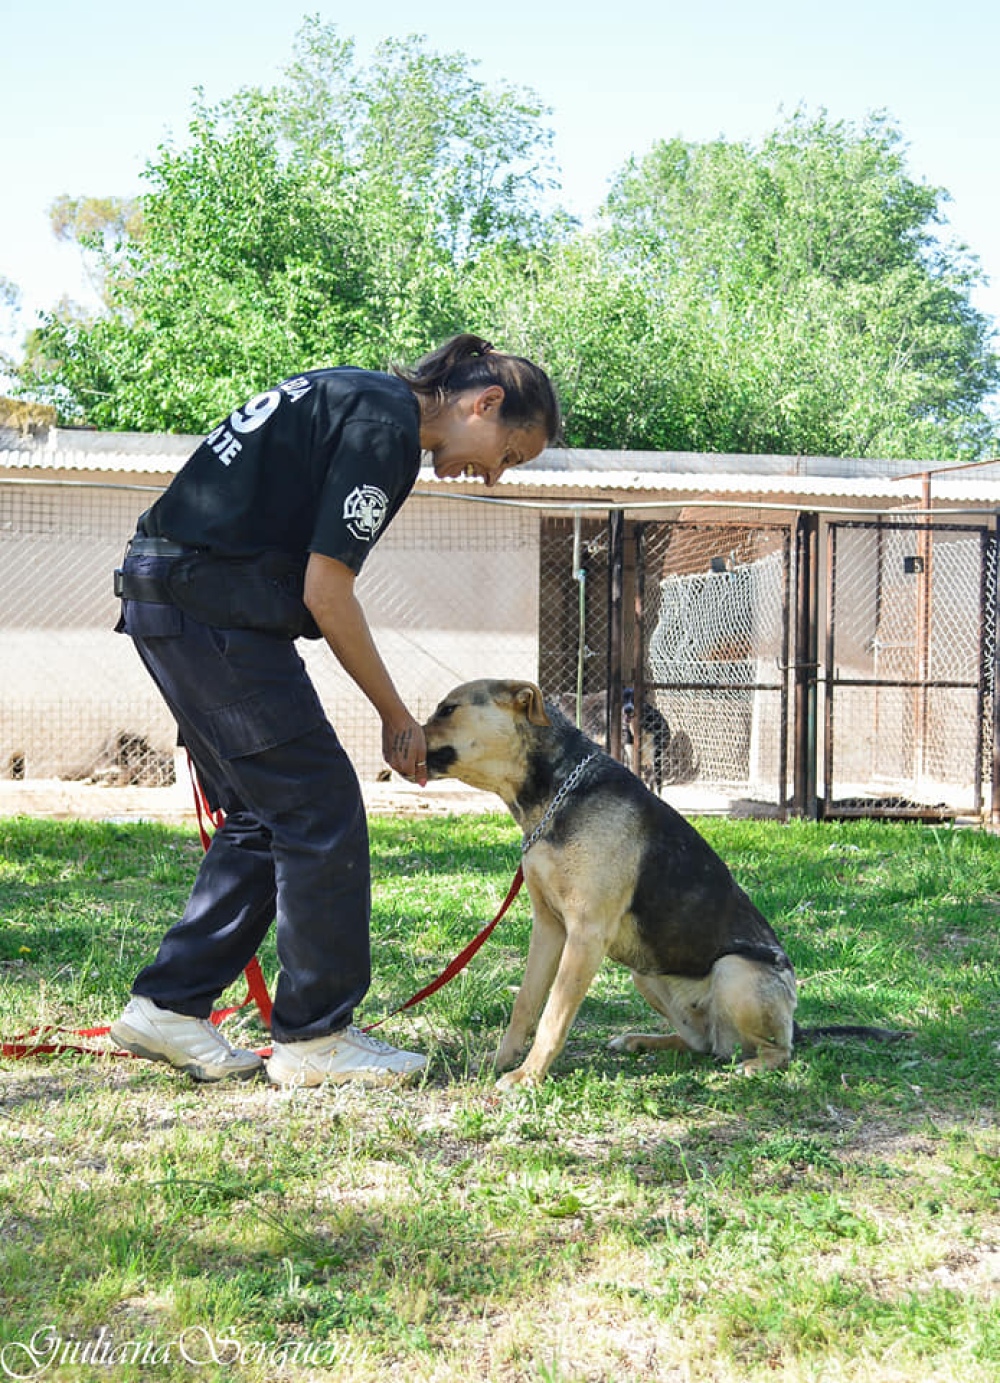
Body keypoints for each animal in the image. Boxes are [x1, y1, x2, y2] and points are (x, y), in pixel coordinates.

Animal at [420, 680, 901, 1089]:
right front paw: (503, 1062)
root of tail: (793, 1022)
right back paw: (641, 1041)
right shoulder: (549, 928)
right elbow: (525, 1005)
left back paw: (753, 1065)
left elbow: (553, 1016)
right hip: (645, 973)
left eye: (447, 709)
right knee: (702, 1044)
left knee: (776, 1050)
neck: (555, 792)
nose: (406, 741)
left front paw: (527, 1077)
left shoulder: (585, 935)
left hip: (736, 972)